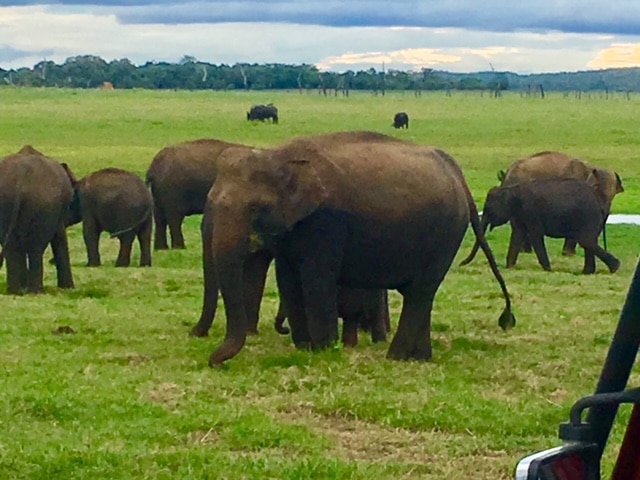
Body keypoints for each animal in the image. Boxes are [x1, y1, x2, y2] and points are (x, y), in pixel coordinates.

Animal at [0, 144, 75, 294]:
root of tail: (20, 178)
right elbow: (59, 236)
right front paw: (69, 288)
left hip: (6, 202)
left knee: (12, 247)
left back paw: (16, 291)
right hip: (44, 204)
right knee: (36, 247)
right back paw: (36, 291)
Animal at [200, 130, 516, 364]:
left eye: (257, 208)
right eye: (211, 201)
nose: (213, 361)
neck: (277, 155)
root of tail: (459, 177)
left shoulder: (326, 222)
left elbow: (316, 279)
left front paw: (323, 349)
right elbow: (288, 279)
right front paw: (305, 347)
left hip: (447, 232)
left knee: (421, 291)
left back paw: (396, 357)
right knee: (421, 294)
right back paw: (419, 358)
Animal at [462, 177, 616, 274]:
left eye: (488, 209)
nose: (461, 263)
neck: (512, 189)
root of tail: (599, 200)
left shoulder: (531, 212)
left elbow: (535, 235)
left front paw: (548, 269)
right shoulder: (520, 215)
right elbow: (517, 236)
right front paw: (509, 267)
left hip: (588, 217)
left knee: (586, 241)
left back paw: (614, 267)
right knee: (588, 242)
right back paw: (588, 272)